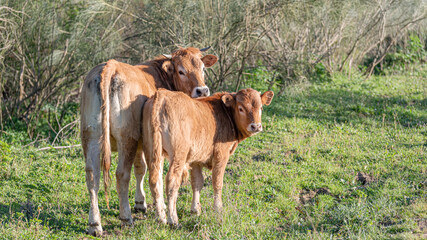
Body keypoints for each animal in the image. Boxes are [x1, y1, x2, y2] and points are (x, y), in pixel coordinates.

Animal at [81, 47, 217, 236]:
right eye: (181, 71)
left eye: (202, 68)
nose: (202, 91)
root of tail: (110, 66)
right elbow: (155, 174)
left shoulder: (141, 144)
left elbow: (141, 169)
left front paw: (140, 203)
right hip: (127, 138)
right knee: (122, 174)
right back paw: (126, 218)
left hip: (91, 136)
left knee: (92, 176)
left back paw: (94, 225)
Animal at [142, 87, 276, 225]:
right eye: (241, 108)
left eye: (261, 108)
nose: (256, 126)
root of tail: (162, 95)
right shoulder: (221, 154)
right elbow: (217, 182)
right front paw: (218, 209)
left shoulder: (196, 159)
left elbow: (197, 182)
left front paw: (195, 209)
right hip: (178, 154)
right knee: (172, 182)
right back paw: (172, 218)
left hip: (152, 151)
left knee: (155, 180)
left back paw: (161, 217)